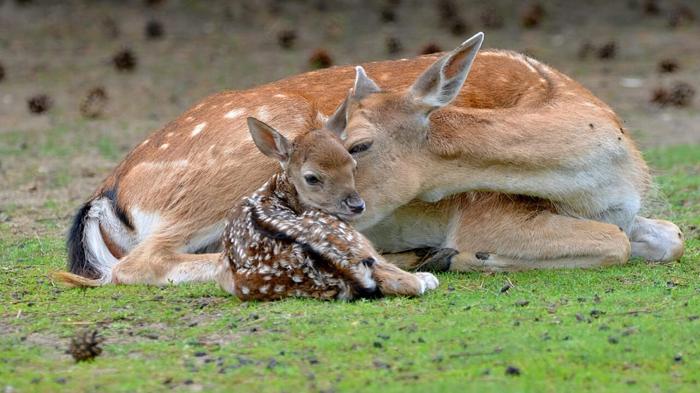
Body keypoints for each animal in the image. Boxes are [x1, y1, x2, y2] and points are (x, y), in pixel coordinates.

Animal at [56, 33, 684, 284]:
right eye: (331, 153)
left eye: (356, 143)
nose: (345, 208)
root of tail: (112, 192)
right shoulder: (488, 212)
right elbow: (616, 243)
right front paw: (466, 256)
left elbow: (671, 235)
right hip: (236, 172)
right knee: (140, 265)